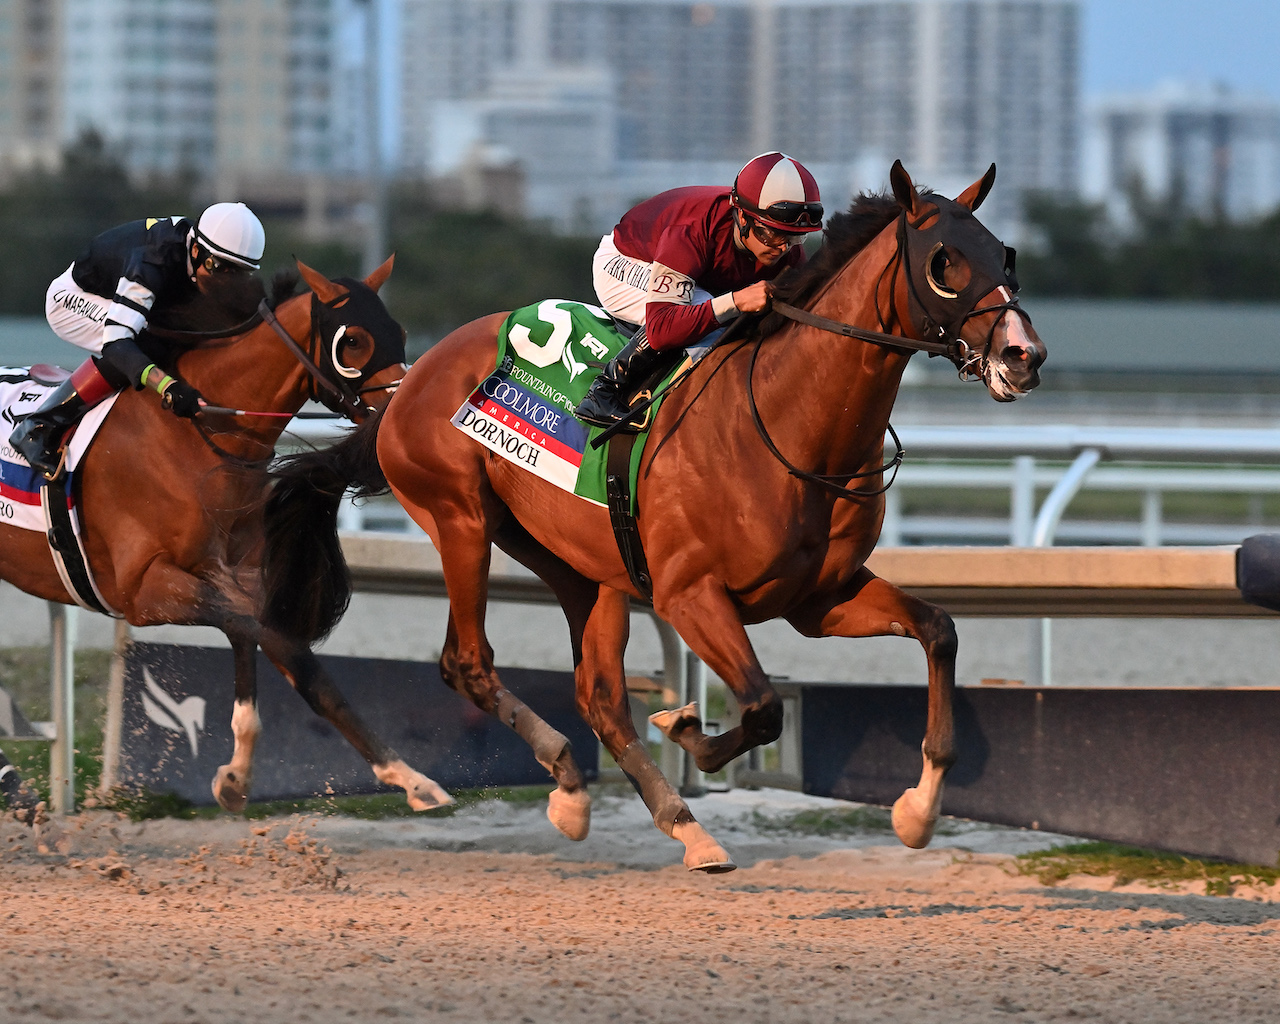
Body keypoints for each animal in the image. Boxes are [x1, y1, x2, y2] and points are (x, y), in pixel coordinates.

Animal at [0, 262, 455, 814]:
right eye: (354, 341)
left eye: (401, 333)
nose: (403, 412)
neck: (195, 438)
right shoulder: (142, 592)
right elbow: (262, 635)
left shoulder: (239, 578)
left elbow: (285, 657)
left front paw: (408, 779)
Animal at [264, 163, 1044, 870]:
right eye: (944, 262)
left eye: (1002, 251)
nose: (1024, 355)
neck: (788, 422)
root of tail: (408, 383)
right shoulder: (689, 593)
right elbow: (762, 706)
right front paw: (687, 725)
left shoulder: (819, 598)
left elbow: (938, 632)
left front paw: (918, 812)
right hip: (460, 521)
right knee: (469, 662)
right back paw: (572, 774)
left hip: (581, 562)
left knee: (600, 696)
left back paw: (650, 816)